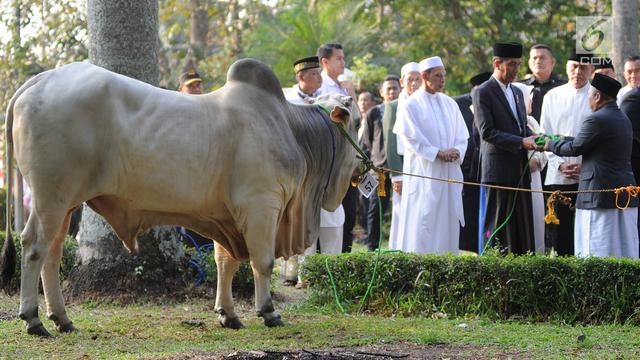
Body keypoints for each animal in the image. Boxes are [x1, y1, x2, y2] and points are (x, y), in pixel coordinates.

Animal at [0, 59, 360, 338]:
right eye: (357, 121)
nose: (365, 165)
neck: (291, 129)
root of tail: (41, 80)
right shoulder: (261, 205)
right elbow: (263, 261)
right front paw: (268, 311)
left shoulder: (228, 215)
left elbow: (225, 262)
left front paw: (228, 314)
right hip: (50, 198)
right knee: (33, 246)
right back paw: (33, 320)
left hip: (65, 204)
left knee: (52, 254)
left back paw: (62, 319)